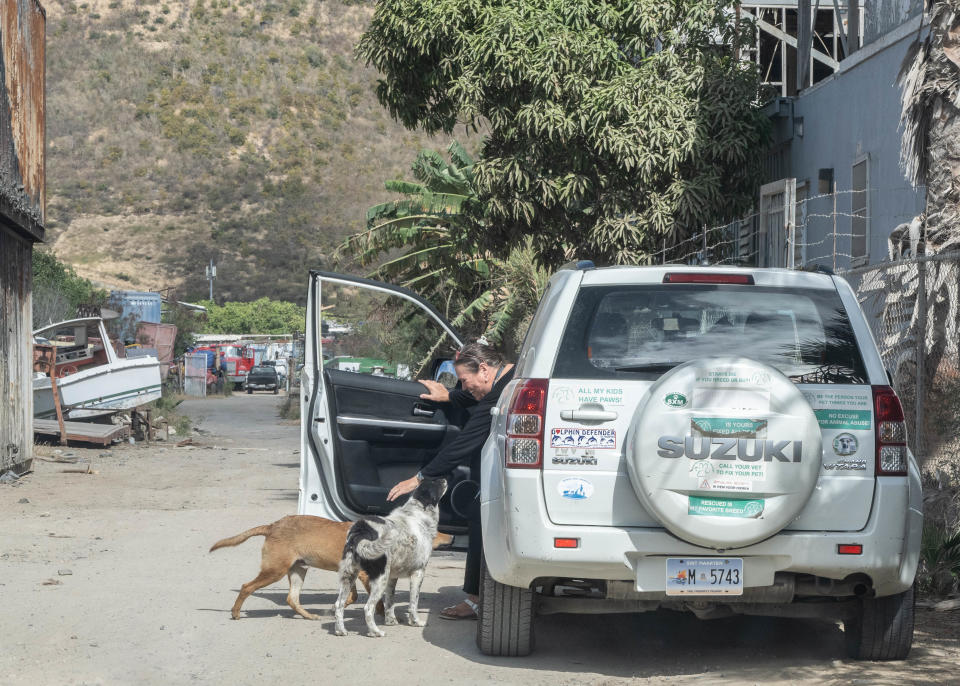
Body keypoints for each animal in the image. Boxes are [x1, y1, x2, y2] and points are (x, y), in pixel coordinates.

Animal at [210, 516, 450, 624]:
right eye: (432, 531)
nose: (452, 537)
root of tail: (272, 526)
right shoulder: (365, 576)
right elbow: (377, 601)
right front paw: (383, 615)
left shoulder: (353, 575)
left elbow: (352, 597)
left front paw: (337, 608)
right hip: (274, 570)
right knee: (246, 587)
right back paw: (236, 612)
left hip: (298, 570)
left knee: (292, 599)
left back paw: (309, 616)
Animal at [334, 478, 446, 640]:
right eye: (435, 482)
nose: (444, 479)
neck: (418, 513)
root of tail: (361, 530)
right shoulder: (418, 573)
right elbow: (413, 603)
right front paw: (415, 622)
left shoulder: (392, 577)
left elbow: (390, 601)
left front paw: (390, 621)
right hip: (380, 578)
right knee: (368, 608)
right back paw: (375, 632)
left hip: (349, 576)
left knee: (339, 604)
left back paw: (340, 631)